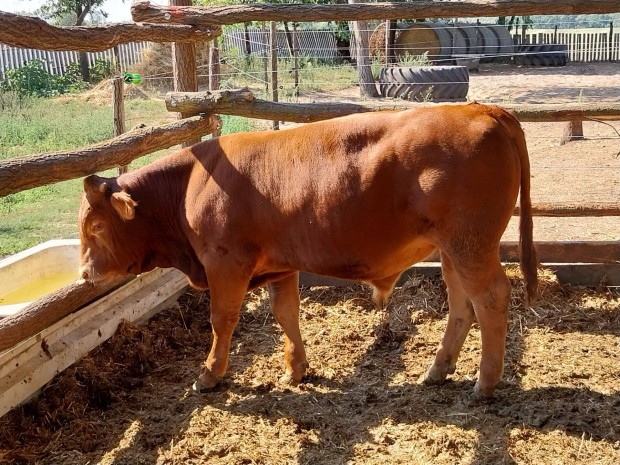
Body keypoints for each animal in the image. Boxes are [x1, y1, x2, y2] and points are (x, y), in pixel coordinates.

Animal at [80, 103, 536, 396]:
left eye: (96, 226)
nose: (84, 273)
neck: (193, 180)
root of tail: (481, 109)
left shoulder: (225, 263)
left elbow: (222, 320)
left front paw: (209, 375)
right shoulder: (281, 266)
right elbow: (286, 314)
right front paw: (296, 369)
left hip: (471, 244)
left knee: (491, 297)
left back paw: (485, 382)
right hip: (453, 250)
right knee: (461, 303)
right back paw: (438, 371)